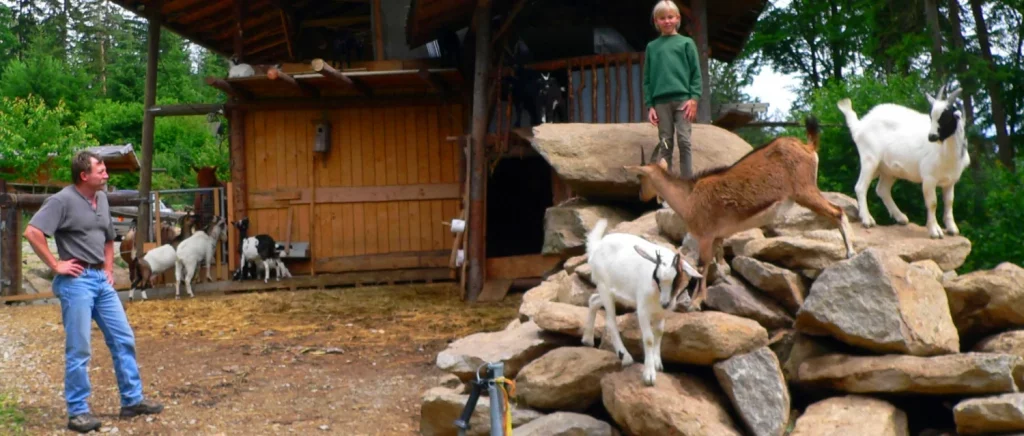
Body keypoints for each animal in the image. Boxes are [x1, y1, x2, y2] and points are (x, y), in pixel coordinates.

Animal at [581, 218, 700, 384]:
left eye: (677, 278)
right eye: (656, 277)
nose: (665, 303)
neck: (657, 295)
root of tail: (596, 246)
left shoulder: (661, 312)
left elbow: (659, 332)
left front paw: (657, 363)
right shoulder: (643, 310)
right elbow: (649, 338)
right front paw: (649, 375)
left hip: (613, 292)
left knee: (593, 300)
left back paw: (587, 340)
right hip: (604, 286)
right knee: (610, 321)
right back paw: (625, 357)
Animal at [622, 115, 856, 309]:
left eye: (640, 176)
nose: (641, 196)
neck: (688, 198)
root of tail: (808, 147)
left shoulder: (705, 236)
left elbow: (701, 266)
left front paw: (695, 303)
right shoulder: (718, 237)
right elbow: (718, 266)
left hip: (805, 191)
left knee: (837, 211)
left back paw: (850, 253)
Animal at [831, 83, 966, 240]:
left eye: (946, 117)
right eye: (931, 116)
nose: (931, 137)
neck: (945, 152)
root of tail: (859, 126)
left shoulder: (950, 182)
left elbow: (949, 202)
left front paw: (952, 229)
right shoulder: (929, 179)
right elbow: (932, 203)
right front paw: (935, 231)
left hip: (887, 170)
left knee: (882, 189)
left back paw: (901, 217)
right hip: (869, 159)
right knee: (860, 187)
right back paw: (867, 220)